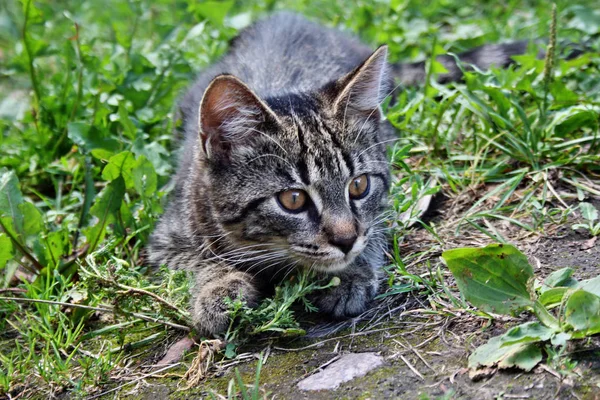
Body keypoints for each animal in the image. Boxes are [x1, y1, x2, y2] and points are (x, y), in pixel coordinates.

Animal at [148, 11, 536, 334]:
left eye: (359, 186)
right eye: (293, 199)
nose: (346, 240)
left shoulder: (384, 209)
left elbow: (374, 231)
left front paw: (352, 271)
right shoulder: (166, 241)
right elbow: (202, 261)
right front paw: (220, 289)